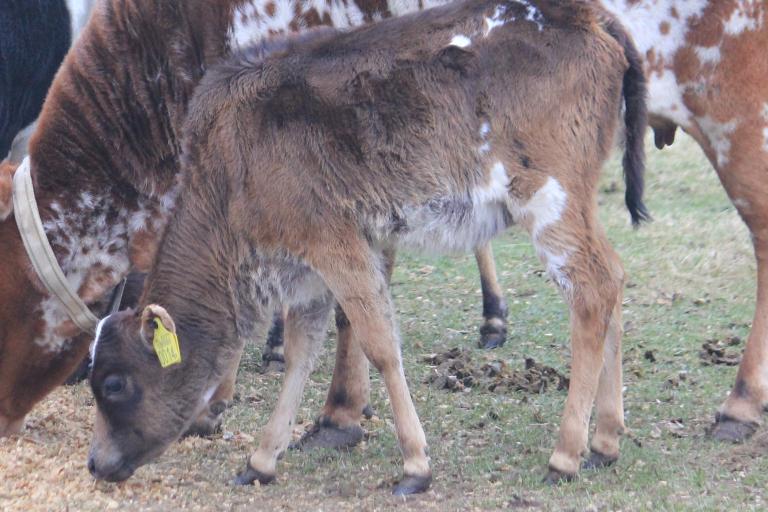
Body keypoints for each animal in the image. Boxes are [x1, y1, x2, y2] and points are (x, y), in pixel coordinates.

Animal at [85, 1, 648, 496]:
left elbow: (379, 343)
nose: (96, 462)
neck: (229, 167)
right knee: (615, 277)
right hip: (577, 202)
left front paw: (415, 466)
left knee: (592, 289)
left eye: (114, 384)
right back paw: (605, 442)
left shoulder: (335, 242)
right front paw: (262, 460)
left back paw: (566, 455)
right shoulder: (306, 269)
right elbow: (301, 353)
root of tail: (586, 16)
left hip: (549, 197)